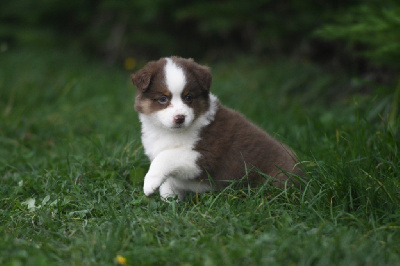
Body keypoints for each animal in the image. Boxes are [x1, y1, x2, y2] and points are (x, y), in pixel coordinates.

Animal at [133, 57, 302, 201]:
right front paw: (170, 203)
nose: (180, 118)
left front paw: (149, 183)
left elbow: (166, 157)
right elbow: (169, 183)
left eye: (189, 97)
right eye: (163, 99)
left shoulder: (205, 155)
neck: (168, 132)